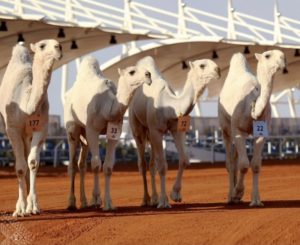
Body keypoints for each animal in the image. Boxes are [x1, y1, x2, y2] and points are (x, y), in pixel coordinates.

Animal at [0, 40, 62, 216]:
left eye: (58, 45)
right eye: (42, 46)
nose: (58, 47)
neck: (26, 104)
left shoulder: (41, 128)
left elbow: (33, 162)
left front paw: (33, 206)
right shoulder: (12, 129)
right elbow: (20, 167)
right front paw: (20, 208)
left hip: (27, 135)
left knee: (28, 158)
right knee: (21, 162)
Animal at [64, 55, 151, 211]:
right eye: (132, 72)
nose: (148, 75)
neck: (107, 109)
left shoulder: (115, 133)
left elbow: (108, 166)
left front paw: (108, 203)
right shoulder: (92, 130)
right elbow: (96, 164)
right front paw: (97, 199)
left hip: (84, 135)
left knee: (81, 164)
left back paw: (84, 201)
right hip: (73, 128)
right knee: (73, 164)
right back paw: (71, 202)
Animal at [129, 56, 220, 208]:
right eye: (202, 65)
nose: (218, 70)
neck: (170, 106)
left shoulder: (177, 130)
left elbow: (184, 160)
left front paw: (175, 194)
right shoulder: (156, 130)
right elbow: (163, 166)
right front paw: (164, 201)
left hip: (150, 133)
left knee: (151, 164)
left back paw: (154, 198)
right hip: (137, 127)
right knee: (143, 163)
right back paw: (146, 199)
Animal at [218, 49, 286, 207]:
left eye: (282, 55)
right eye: (267, 55)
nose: (282, 60)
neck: (252, 105)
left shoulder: (262, 133)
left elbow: (255, 165)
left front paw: (255, 200)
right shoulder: (238, 131)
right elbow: (243, 164)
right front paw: (237, 193)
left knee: (235, 158)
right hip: (225, 128)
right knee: (230, 162)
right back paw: (230, 196)